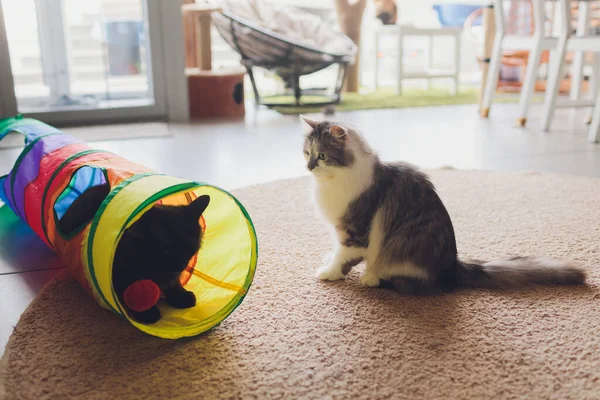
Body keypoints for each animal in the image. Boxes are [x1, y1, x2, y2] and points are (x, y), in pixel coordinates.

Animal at [58, 183, 209, 324]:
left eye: (190, 249)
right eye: (167, 249)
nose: (181, 265)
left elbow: (173, 282)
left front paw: (181, 296)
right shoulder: (120, 272)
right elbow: (130, 291)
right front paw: (148, 312)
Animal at [300, 115, 584, 294]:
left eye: (322, 156)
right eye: (306, 153)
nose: (308, 167)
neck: (333, 182)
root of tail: (452, 265)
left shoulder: (356, 231)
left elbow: (343, 257)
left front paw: (329, 272)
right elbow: (336, 251)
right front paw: (329, 260)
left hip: (399, 251)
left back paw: (371, 278)